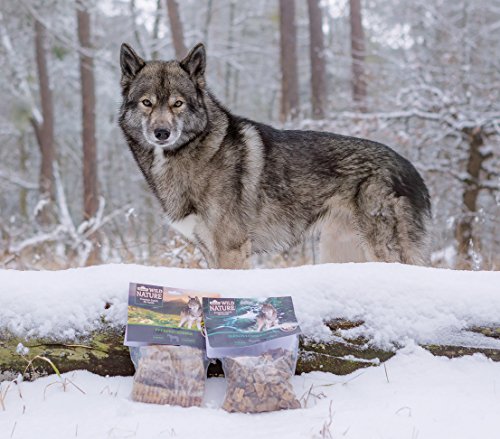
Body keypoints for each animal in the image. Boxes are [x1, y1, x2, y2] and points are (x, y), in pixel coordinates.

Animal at [119, 42, 432, 268]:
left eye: (178, 104)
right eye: (147, 103)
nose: (161, 133)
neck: (199, 150)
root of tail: (409, 167)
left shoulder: (231, 249)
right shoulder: (209, 250)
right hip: (339, 253)